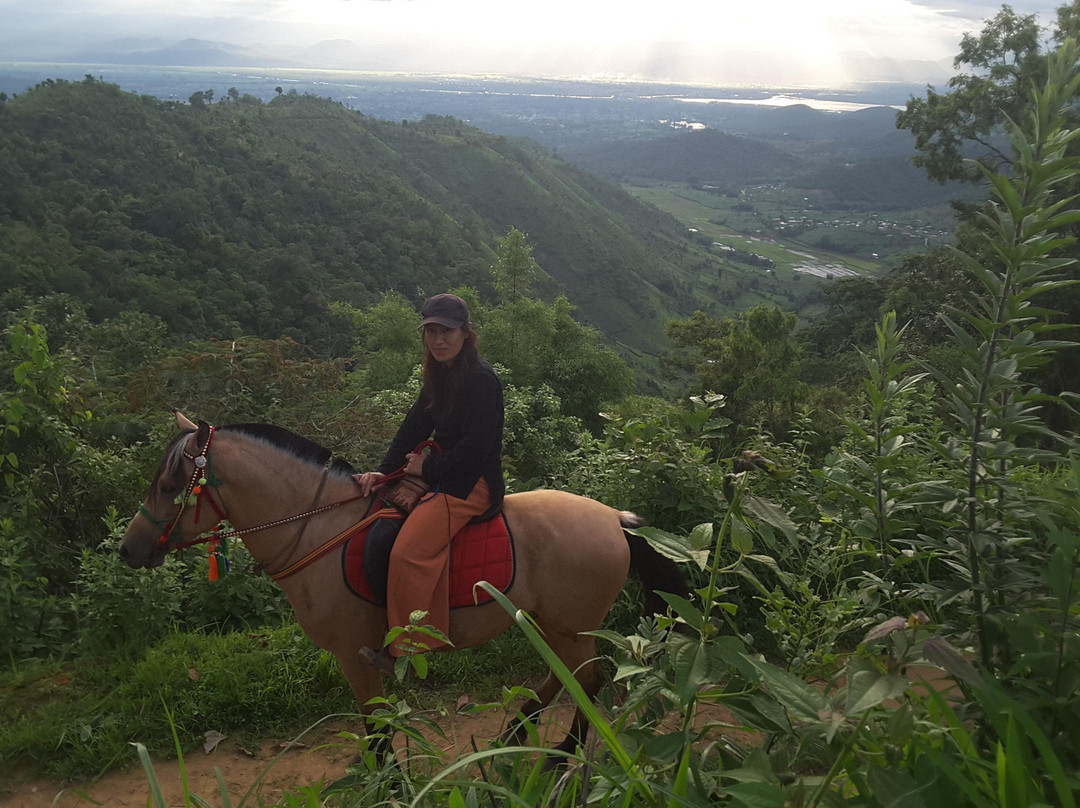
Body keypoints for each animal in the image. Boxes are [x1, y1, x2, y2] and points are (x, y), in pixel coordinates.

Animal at [122, 410, 686, 756]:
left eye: (171, 483)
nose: (128, 550)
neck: (317, 529)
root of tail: (614, 519)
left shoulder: (353, 656)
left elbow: (375, 734)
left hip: (572, 626)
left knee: (586, 683)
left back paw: (557, 757)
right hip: (552, 622)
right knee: (563, 678)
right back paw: (514, 732)